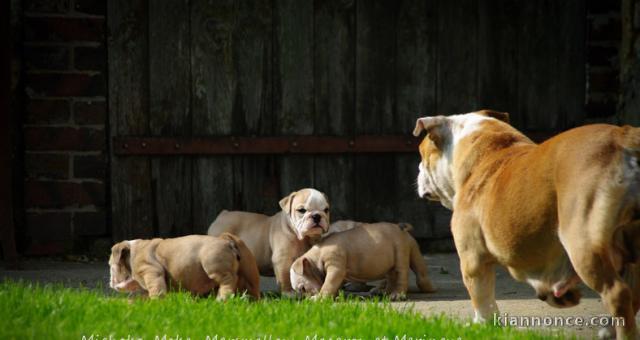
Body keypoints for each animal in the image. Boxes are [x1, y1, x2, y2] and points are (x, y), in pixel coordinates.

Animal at [108, 234, 260, 300]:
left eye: (111, 266)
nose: (110, 281)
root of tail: (228, 242)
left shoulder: (150, 271)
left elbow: (155, 289)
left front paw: (156, 302)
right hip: (250, 271)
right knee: (252, 287)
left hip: (213, 264)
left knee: (228, 280)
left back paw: (222, 299)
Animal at [290, 223, 436, 300]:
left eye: (303, 289)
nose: (304, 299)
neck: (315, 258)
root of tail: (403, 230)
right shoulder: (339, 272)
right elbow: (334, 284)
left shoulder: (335, 267)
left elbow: (328, 283)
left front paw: (320, 298)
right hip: (405, 252)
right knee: (413, 269)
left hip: (400, 251)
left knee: (401, 274)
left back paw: (396, 295)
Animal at [412, 109, 640, 338]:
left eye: (422, 155)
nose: (418, 168)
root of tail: (624, 137)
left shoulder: (473, 260)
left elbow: (483, 302)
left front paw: (482, 327)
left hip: (582, 242)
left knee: (618, 293)